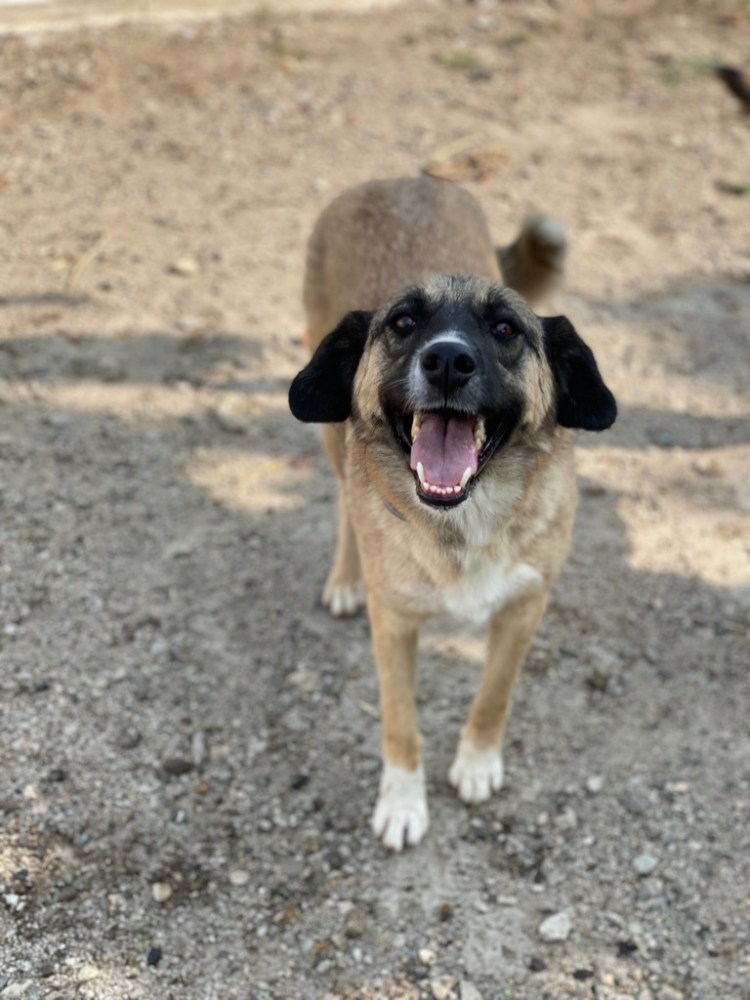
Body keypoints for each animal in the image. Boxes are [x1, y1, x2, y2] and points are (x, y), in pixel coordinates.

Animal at [289, 177, 616, 850]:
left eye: (506, 328)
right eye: (403, 322)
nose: (447, 361)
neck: (466, 522)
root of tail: (399, 178)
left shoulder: (524, 609)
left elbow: (494, 695)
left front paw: (476, 762)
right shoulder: (393, 625)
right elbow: (399, 721)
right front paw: (402, 801)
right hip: (332, 436)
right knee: (345, 498)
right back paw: (346, 578)